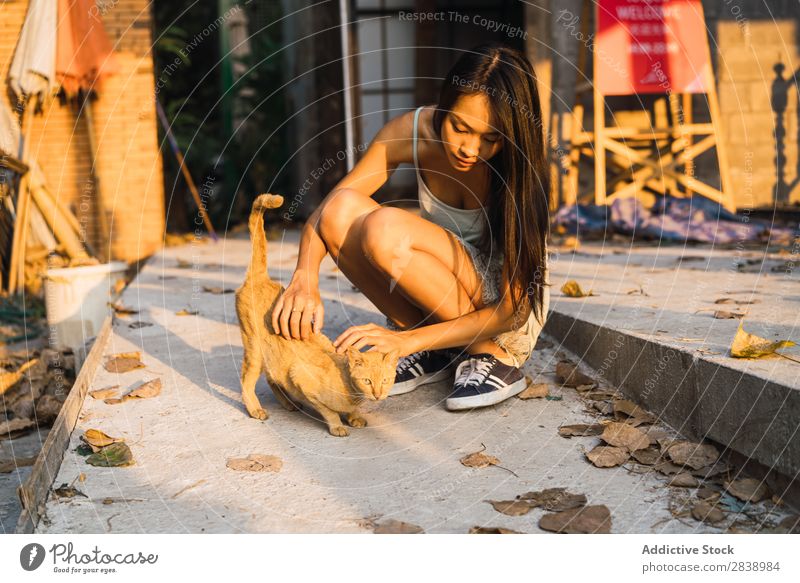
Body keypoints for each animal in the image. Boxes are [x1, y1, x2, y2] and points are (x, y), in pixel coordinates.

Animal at [236, 194, 400, 436]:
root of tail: (261, 278)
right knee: (247, 381)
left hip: (270, 356)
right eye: (368, 381)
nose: (378, 395)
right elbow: (329, 411)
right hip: (254, 349)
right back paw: (256, 409)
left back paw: (288, 403)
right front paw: (338, 425)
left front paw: (354, 417)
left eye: (386, 380)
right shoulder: (300, 377)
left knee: (271, 377)